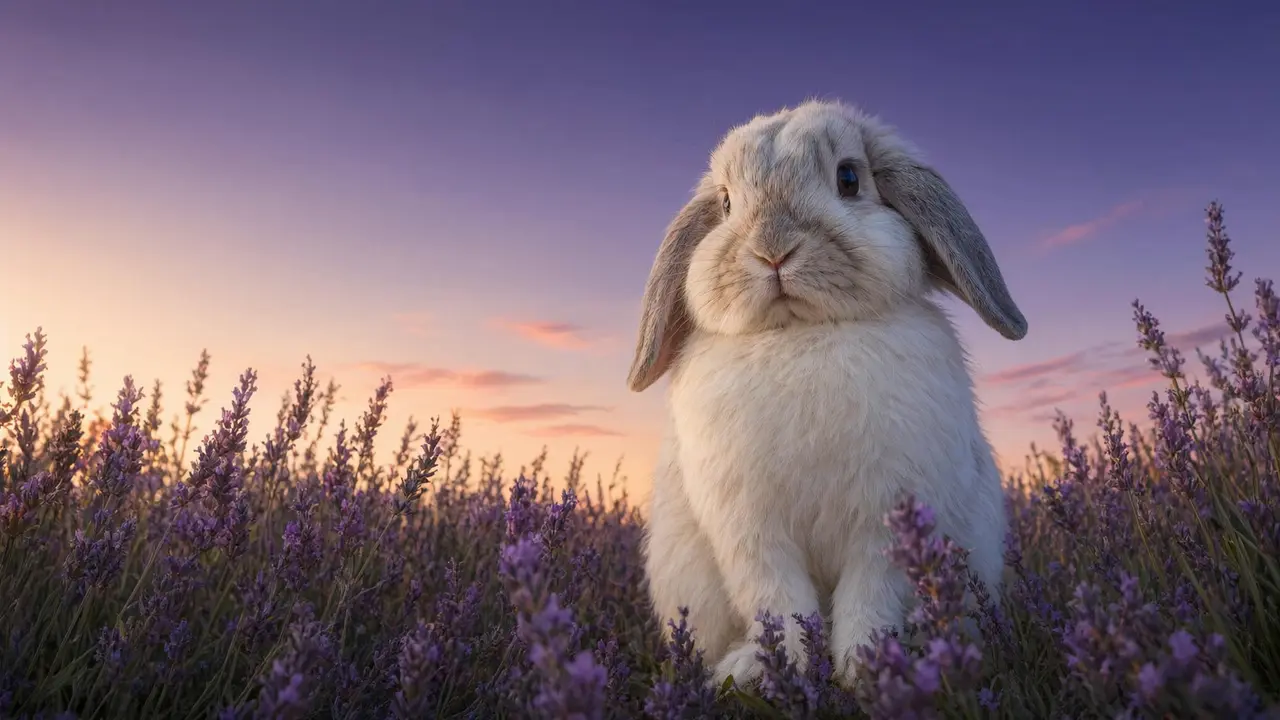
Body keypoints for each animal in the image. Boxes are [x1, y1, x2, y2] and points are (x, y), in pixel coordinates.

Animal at [627, 99, 1027, 688]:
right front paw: (787, 668)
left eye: (849, 178)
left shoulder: (885, 527)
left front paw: (867, 667)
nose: (772, 250)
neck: (800, 334)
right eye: (725, 203)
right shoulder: (752, 534)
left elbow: (870, 599)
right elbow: (779, 602)